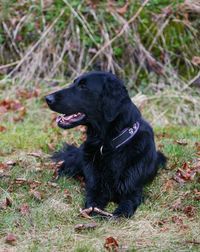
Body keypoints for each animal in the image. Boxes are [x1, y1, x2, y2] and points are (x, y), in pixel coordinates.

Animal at [46, 72, 166, 218]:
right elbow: (92, 205)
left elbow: (124, 210)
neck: (108, 145)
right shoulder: (95, 188)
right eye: (74, 83)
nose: (47, 98)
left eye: (83, 86)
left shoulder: (132, 192)